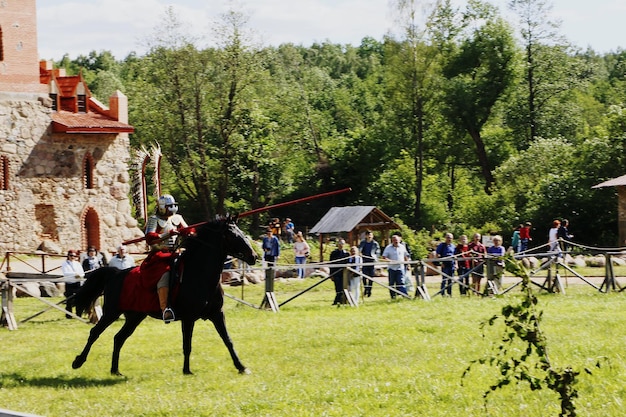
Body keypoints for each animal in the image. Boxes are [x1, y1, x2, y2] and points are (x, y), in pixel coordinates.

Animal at [72, 216, 258, 376]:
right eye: (233, 235)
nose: (254, 256)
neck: (199, 273)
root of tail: (116, 273)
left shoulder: (217, 314)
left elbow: (228, 340)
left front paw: (241, 367)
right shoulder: (188, 318)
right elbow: (187, 344)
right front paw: (187, 370)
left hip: (135, 316)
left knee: (119, 338)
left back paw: (115, 370)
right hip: (111, 312)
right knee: (95, 332)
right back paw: (78, 361)